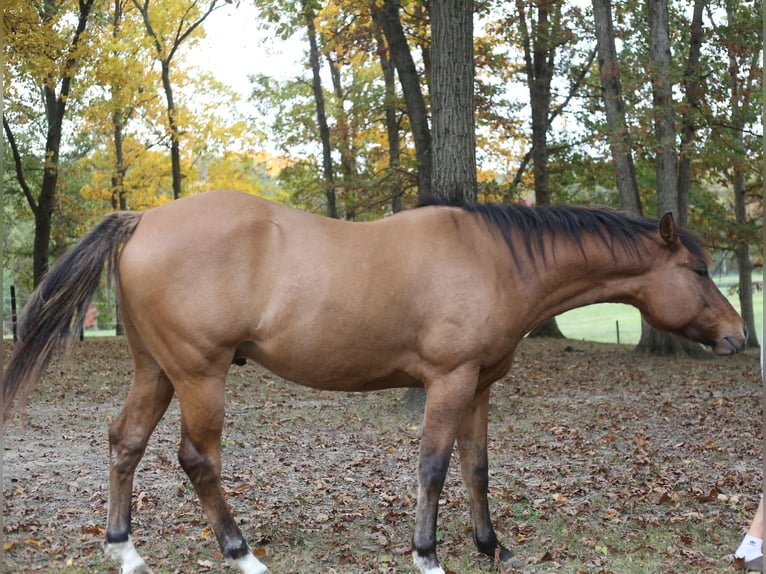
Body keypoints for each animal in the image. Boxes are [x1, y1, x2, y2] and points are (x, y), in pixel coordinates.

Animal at [3, 190, 747, 574]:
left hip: (156, 370)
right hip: (198, 375)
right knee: (197, 459)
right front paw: (427, 554)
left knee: (124, 443)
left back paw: (125, 551)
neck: (494, 259)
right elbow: (435, 469)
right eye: (699, 271)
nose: (738, 336)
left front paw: (491, 546)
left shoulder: (480, 386)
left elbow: (477, 468)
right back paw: (242, 554)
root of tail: (143, 219)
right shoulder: (449, 383)